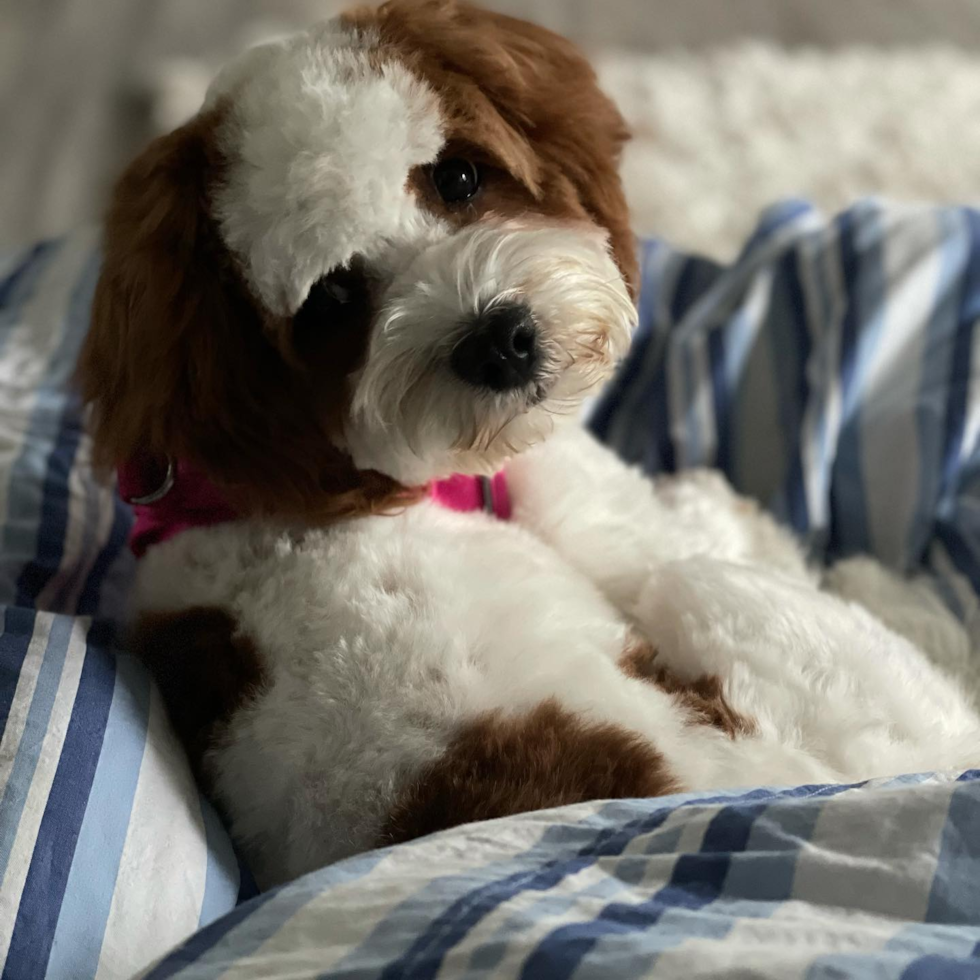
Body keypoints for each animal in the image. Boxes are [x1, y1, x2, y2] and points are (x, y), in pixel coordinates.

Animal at [78, 0, 980, 888]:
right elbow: (737, 532)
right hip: (745, 620)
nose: (499, 340)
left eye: (459, 177)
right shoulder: (605, 513)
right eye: (331, 300)